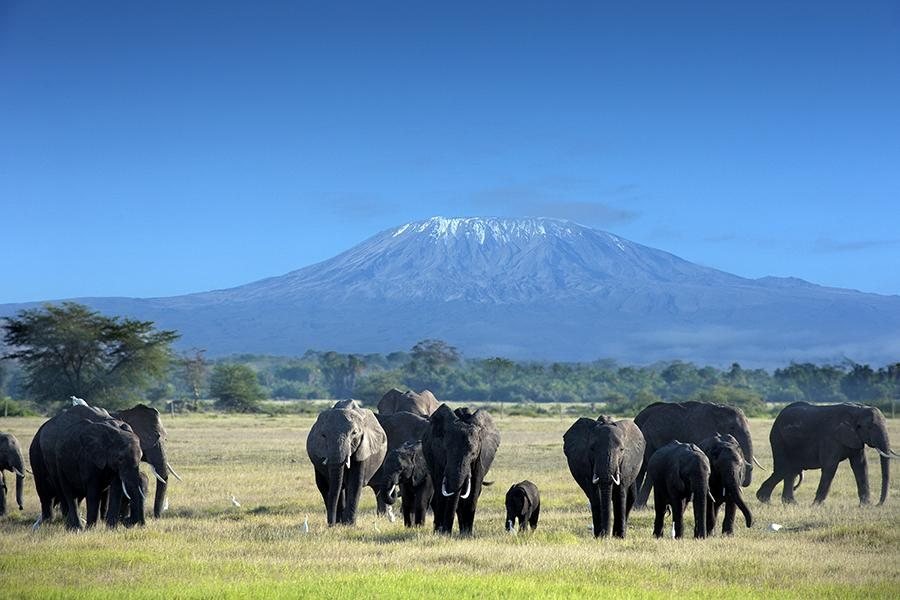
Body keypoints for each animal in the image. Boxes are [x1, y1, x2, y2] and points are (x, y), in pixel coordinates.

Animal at [422, 404, 500, 536]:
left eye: (473, 453)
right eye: (446, 450)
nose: (446, 531)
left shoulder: (481, 456)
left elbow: (474, 489)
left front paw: (467, 535)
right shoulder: (436, 454)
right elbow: (441, 490)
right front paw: (442, 533)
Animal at [756, 402, 897, 506]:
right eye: (870, 427)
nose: (878, 504)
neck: (858, 410)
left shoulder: (855, 438)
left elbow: (861, 466)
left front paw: (865, 506)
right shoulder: (830, 438)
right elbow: (830, 467)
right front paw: (816, 506)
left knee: (791, 470)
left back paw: (789, 503)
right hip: (778, 439)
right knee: (784, 468)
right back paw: (766, 500)